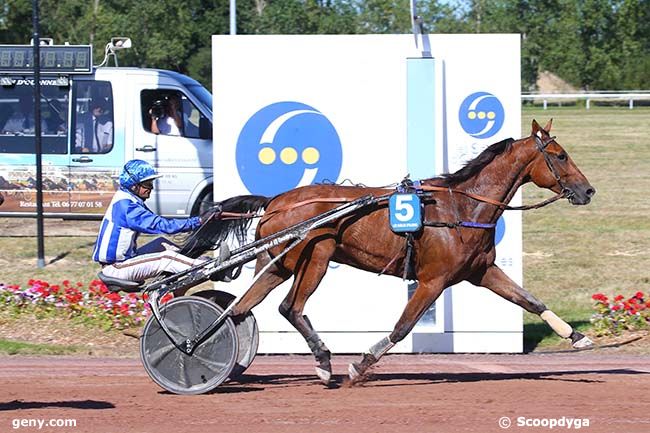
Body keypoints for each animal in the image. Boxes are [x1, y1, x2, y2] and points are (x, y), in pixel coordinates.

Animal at [230, 120, 596, 384]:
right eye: (560, 155)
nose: (588, 190)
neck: (462, 208)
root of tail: (276, 201)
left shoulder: (482, 271)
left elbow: (530, 300)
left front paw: (578, 337)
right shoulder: (433, 280)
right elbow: (402, 327)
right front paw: (361, 365)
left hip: (278, 263)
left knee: (242, 308)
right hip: (313, 259)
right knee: (290, 307)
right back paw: (322, 361)